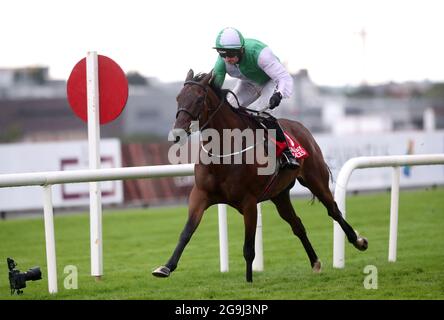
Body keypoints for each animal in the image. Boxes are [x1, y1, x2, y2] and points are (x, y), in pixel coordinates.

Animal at [153, 70, 368, 282]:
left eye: (198, 99)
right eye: (178, 98)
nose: (177, 133)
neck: (225, 152)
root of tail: (301, 127)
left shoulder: (249, 202)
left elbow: (249, 248)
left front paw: (249, 281)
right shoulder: (200, 195)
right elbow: (186, 232)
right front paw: (166, 267)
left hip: (315, 179)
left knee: (333, 210)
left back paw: (358, 241)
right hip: (279, 195)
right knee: (297, 224)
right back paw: (315, 262)